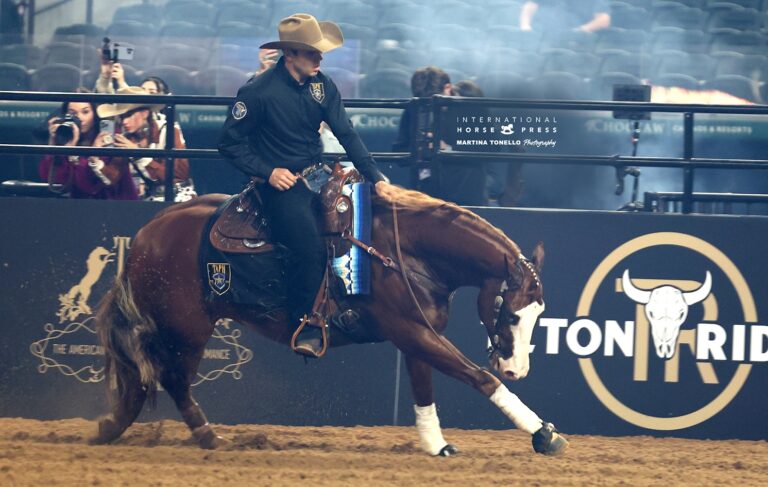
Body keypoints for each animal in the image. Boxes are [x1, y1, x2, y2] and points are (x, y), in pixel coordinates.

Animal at [91, 183, 568, 456]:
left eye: (538, 315)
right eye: (511, 314)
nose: (517, 368)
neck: (400, 251)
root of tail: (148, 233)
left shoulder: (418, 333)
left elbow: (424, 389)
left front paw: (435, 445)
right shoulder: (410, 330)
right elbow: (478, 378)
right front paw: (543, 433)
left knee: (145, 380)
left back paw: (110, 428)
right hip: (187, 327)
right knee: (172, 380)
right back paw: (207, 438)